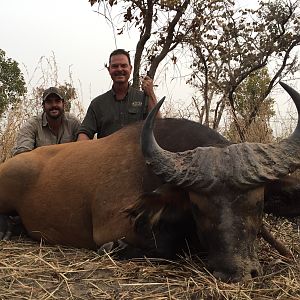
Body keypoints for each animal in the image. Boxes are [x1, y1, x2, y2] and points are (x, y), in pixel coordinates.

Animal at [0, 81, 298, 282]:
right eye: (198, 207)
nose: (236, 272)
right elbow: (163, 247)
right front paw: (117, 248)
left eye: (258, 204)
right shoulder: (112, 227)